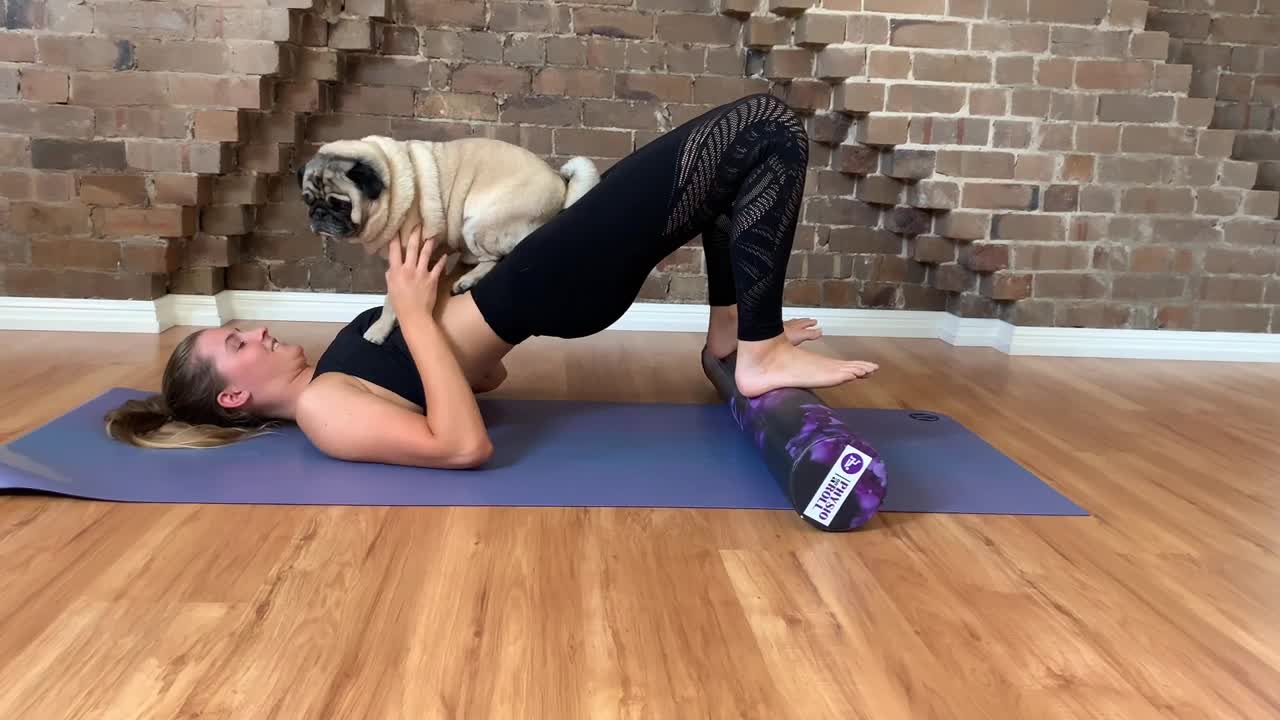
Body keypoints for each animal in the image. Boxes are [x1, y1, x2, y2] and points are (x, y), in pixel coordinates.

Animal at [298, 136, 599, 345]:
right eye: (308, 200)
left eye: (340, 205)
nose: (319, 214)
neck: (391, 183)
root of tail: (561, 185)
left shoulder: (408, 258)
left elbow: (392, 299)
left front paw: (380, 329)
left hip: (477, 221)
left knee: (498, 256)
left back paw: (468, 279)